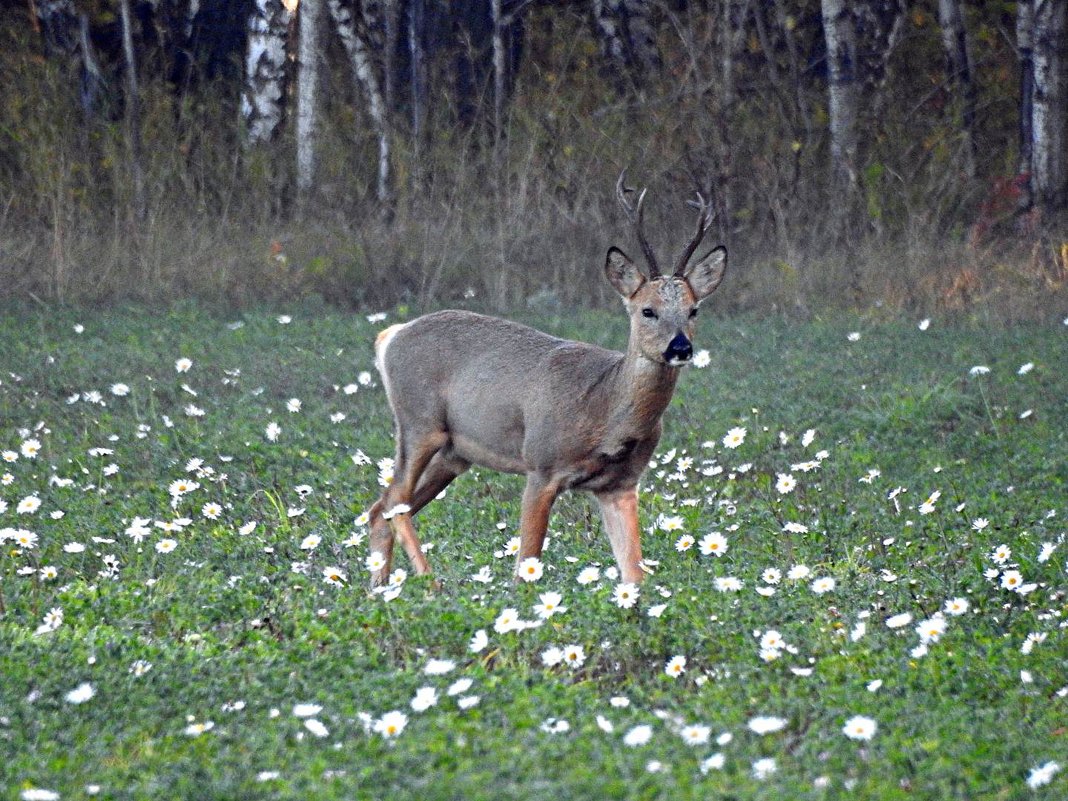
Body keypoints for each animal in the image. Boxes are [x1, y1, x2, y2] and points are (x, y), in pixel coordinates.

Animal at [365, 175, 726, 585]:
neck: (604, 409)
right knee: (394, 502)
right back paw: (431, 583)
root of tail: (390, 335)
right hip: (420, 423)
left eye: (693, 310)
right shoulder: (541, 465)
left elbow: (635, 575)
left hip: (454, 453)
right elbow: (526, 566)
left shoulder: (620, 485)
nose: (680, 347)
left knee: (380, 509)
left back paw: (380, 589)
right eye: (647, 310)